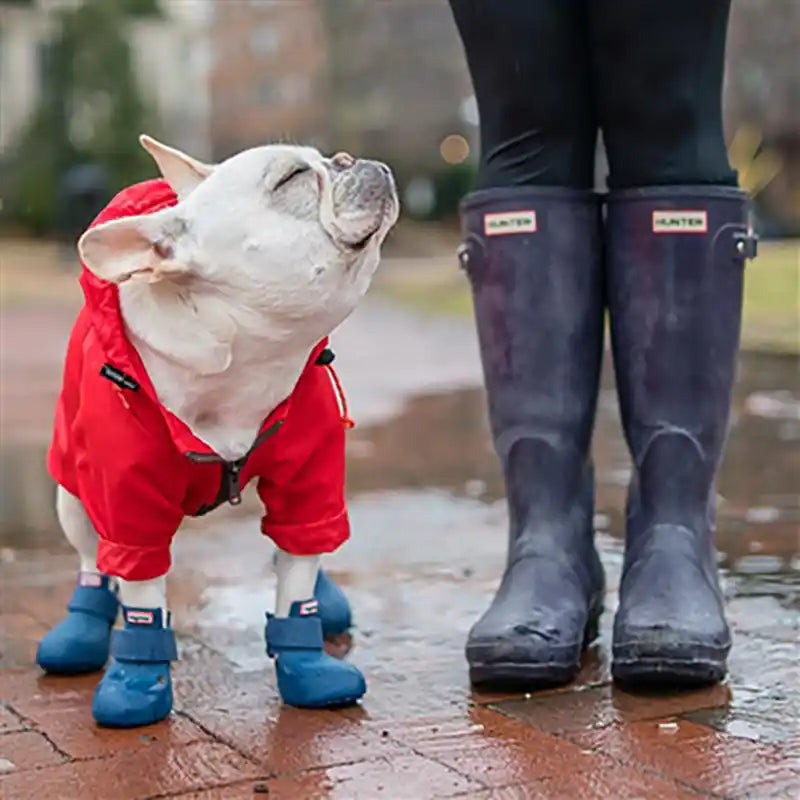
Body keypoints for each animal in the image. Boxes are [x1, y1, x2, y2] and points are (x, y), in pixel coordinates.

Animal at [37, 136, 400, 724]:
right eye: (293, 178)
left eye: (327, 159)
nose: (349, 159)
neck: (246, 357)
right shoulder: (128, 504)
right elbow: (139, 591)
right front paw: (136, 685)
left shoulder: (309, 479)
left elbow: (298, 571)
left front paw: (309, 668)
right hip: (72, 495)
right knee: (94, 560)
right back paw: (82, 630)